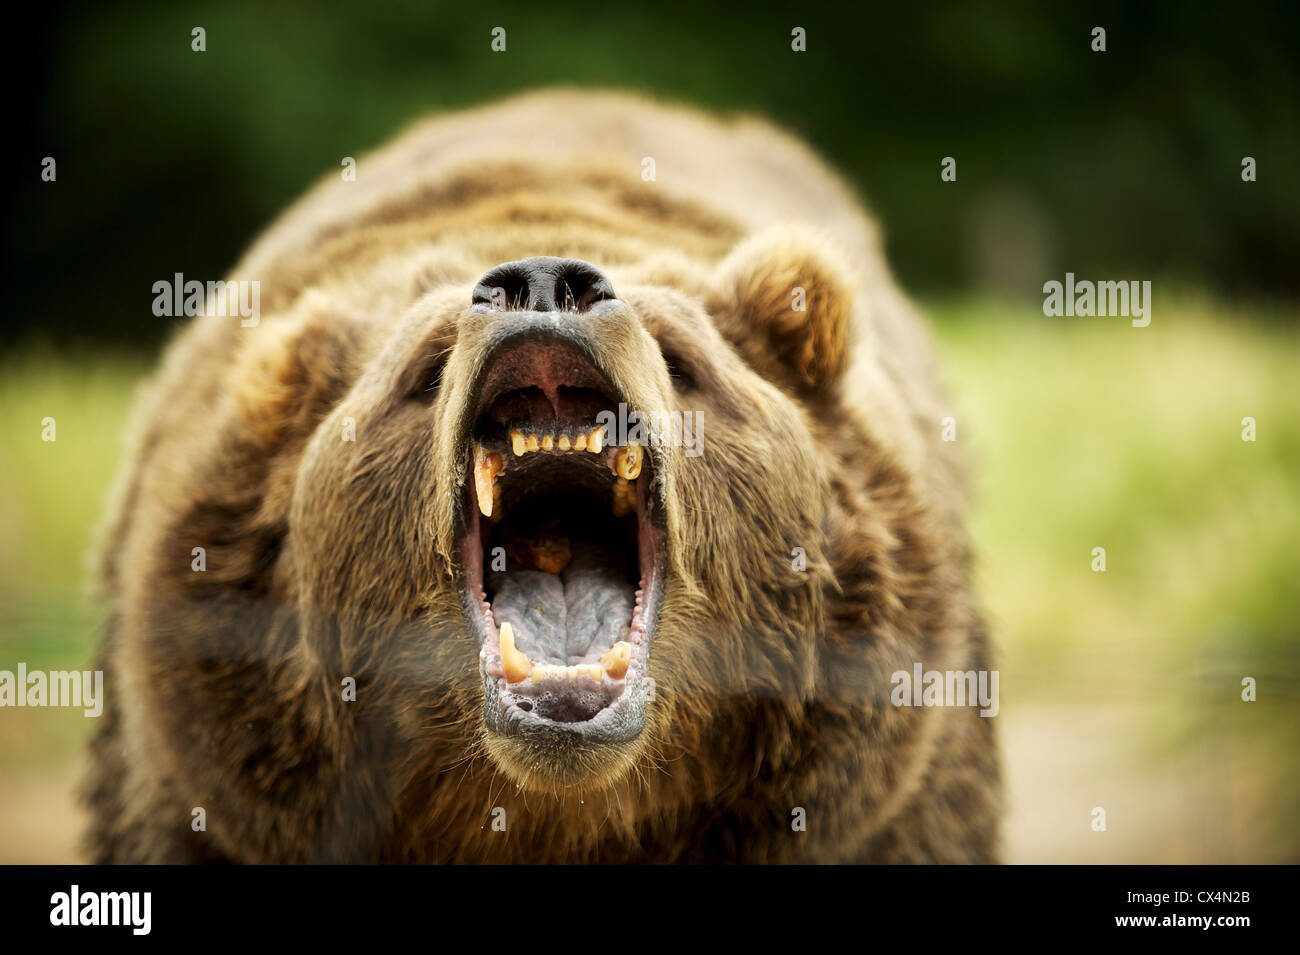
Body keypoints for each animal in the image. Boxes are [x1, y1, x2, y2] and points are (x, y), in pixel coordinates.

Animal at [81, 91, 998, 867]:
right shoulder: (207, 784)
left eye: (682, 358)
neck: (548, 813)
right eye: (424, 370)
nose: (547, 281)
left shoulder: (886, 799)